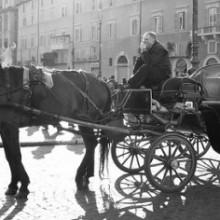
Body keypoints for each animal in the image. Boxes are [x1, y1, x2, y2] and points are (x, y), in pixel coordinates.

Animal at [0, 65, 111, 198]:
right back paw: (85, 177)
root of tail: (101, 81)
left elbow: (15, 156)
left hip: (86, 120)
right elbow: (9, 156)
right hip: (83, 122)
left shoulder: (10, 126)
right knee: (91, 144)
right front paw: (13, 185)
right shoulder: (3, 127)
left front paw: (23, 185)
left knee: (91, 144)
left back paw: (80, 177)